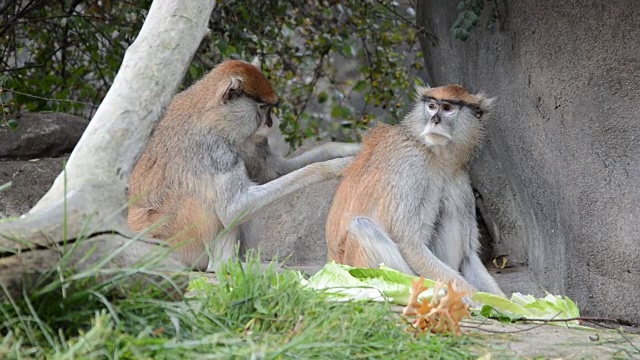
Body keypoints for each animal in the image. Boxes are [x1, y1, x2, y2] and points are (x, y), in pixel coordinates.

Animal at [129, 60, 360, 272]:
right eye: (263, 108)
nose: (269, 123)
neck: (211, 114)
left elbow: (275, 171)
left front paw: (351, 149)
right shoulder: (216, 150)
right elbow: (235, 208)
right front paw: (334, 166)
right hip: (178, 236)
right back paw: (226, 266)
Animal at [328, 83, 502, 296]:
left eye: (447, 108)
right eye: (431, 106)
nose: (435, 120)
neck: (434, 154)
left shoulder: (458, 176)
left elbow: (468, 256)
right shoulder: (412, 165)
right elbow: (410, 244)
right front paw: (473, 297)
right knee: (362, 227)